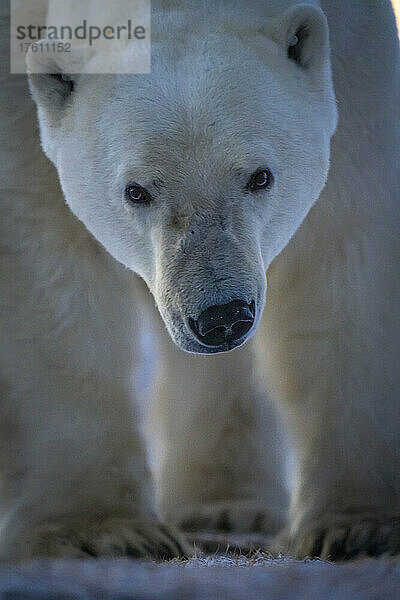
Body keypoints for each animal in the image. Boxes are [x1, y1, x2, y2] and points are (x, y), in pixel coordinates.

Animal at [0, 0, 398, 560]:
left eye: (260, 176)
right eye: (136, 190)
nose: (221, 316)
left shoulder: (359, 70)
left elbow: (347, 257)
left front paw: (359, 528)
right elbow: (45, 266)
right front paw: (102, 533)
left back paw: (228, 509)